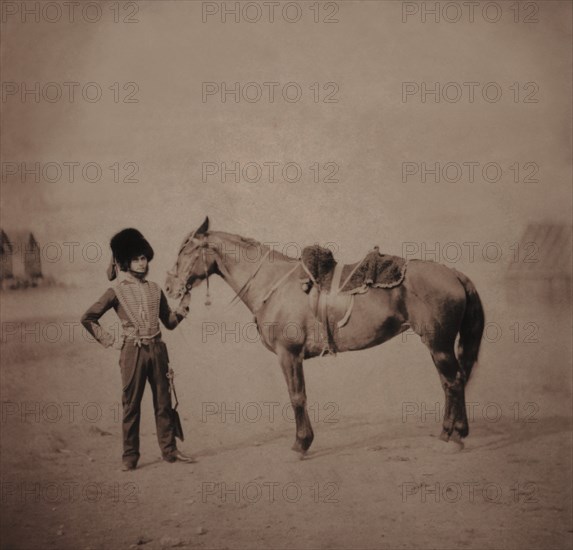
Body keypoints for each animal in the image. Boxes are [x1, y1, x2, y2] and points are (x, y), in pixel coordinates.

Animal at [164, 218, 482, 454]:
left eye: (185, 252)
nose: (169, 288)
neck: (273, 284)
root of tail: (453, 273)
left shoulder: (289, 354)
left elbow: (297, 396)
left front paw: (301, 443)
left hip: (439, 344)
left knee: (454, 382)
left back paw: (457, 436)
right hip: (437, 345)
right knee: (448, 384)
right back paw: (446, 432)